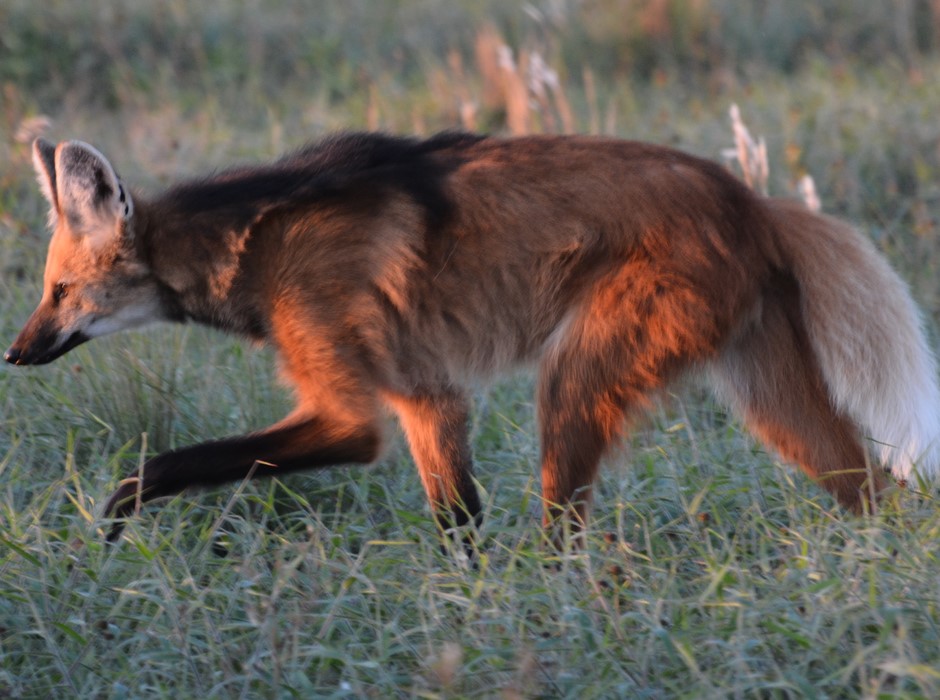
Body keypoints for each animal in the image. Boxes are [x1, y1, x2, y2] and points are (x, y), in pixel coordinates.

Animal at [6, 132, 940, 543]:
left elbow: (165, 464)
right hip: (761, 382)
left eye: (57, 291)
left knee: (565, 509)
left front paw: (112, 519)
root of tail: (753, 200)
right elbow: (458, 517)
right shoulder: (427, 396)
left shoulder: (353, 413)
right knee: (868, 485)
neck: (250, 242)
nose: (14, 353)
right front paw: (473, 606)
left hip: (580, 369)